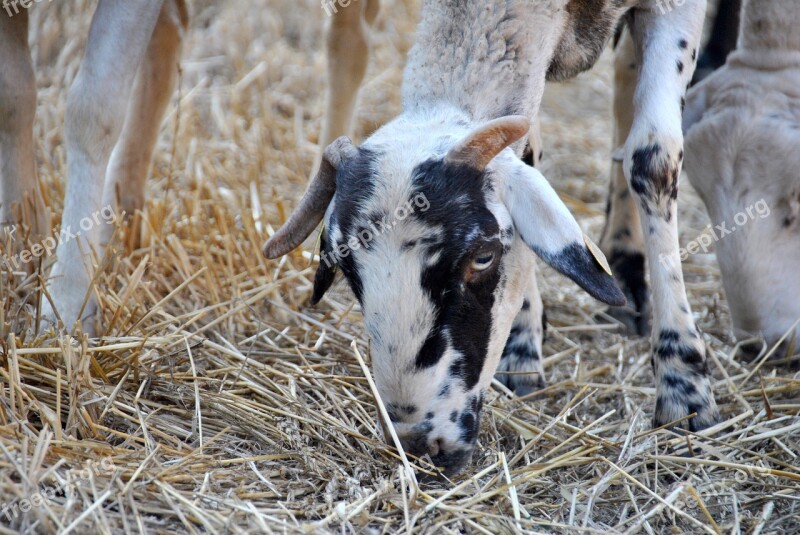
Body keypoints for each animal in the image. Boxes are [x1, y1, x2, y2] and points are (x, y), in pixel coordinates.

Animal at [264, 0, 720, 478]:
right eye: (346, 269)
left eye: (482, 257)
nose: (419, 445)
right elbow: (531, 153)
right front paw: (522, 349)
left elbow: (653, 160)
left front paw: (685, 389)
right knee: (348, 42)